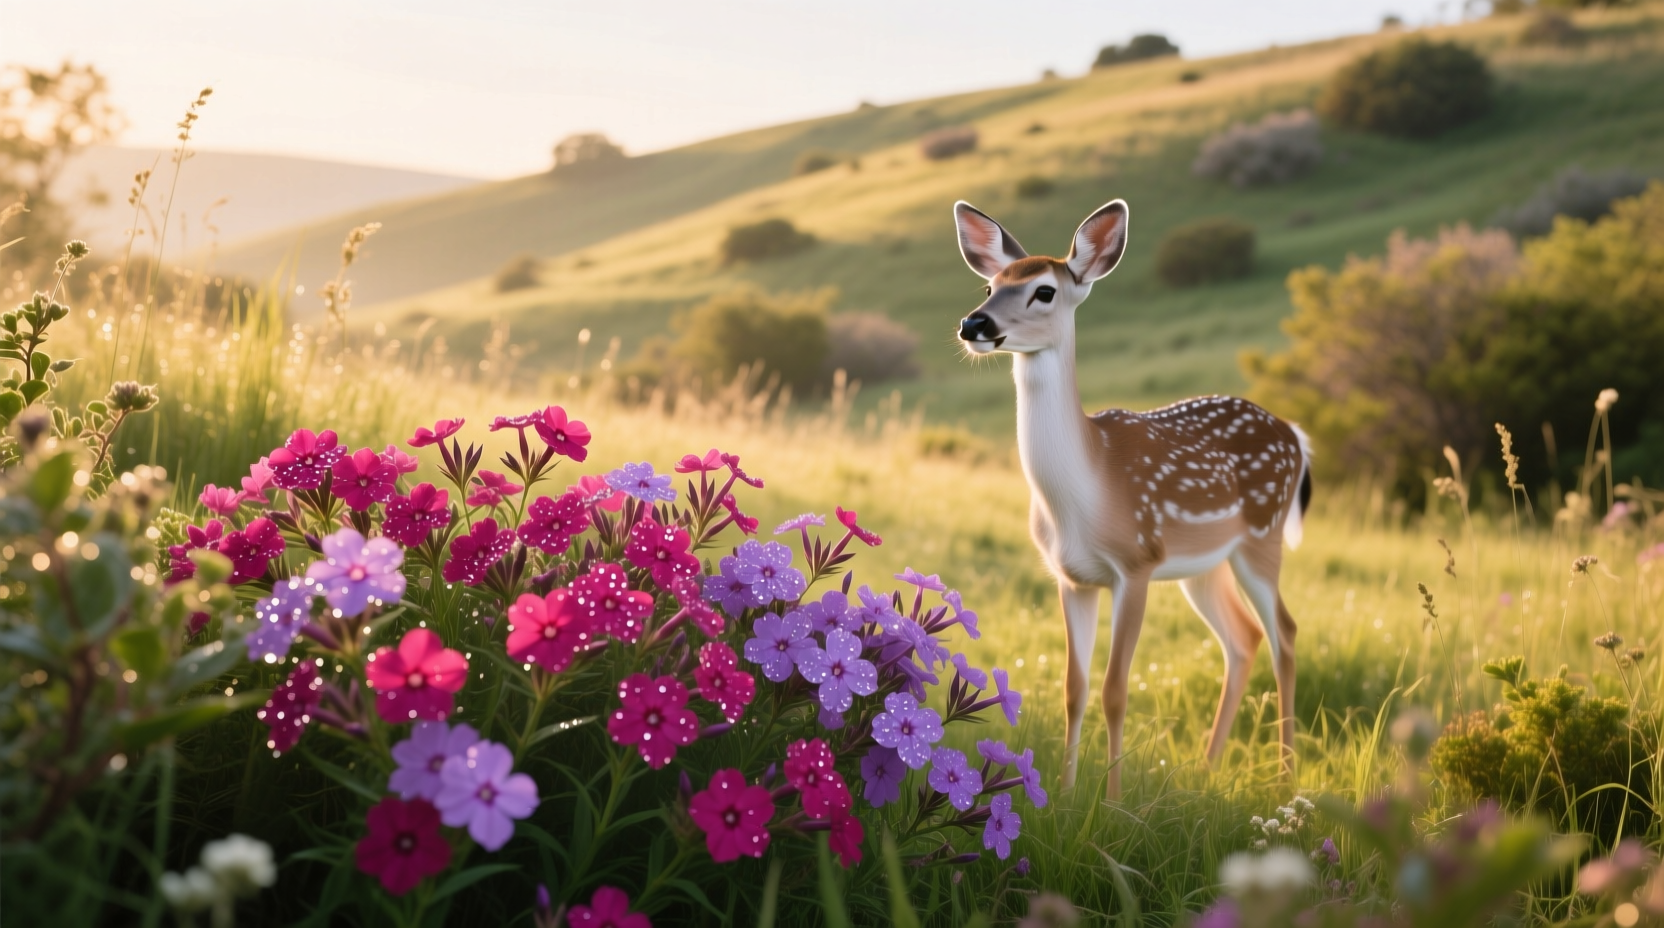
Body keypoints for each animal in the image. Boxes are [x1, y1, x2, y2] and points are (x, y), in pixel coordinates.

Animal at [951, 199, 1312, 799]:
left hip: (1261, 536)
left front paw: (1114, 802)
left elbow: (1116, 691)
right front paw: (1065, 795)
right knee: (1243, 637)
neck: (1086, 489)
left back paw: (1285, 779)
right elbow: (1073, 688)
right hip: (1204, 566)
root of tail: (1296, 436)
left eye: (1044, 290)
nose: (974, 324)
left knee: (1284, 631)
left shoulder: (1136, 564)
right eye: (989, 287)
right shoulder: (1072, 576)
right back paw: (1205, 770)